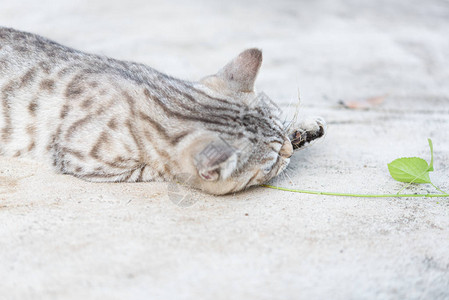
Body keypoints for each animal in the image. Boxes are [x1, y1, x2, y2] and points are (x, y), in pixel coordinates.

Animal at [0, 27, 324, 195]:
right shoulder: (82, 159)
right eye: (272, 163)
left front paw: (301, 131)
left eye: (280, 126)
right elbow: (158, 170)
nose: (288, 152)